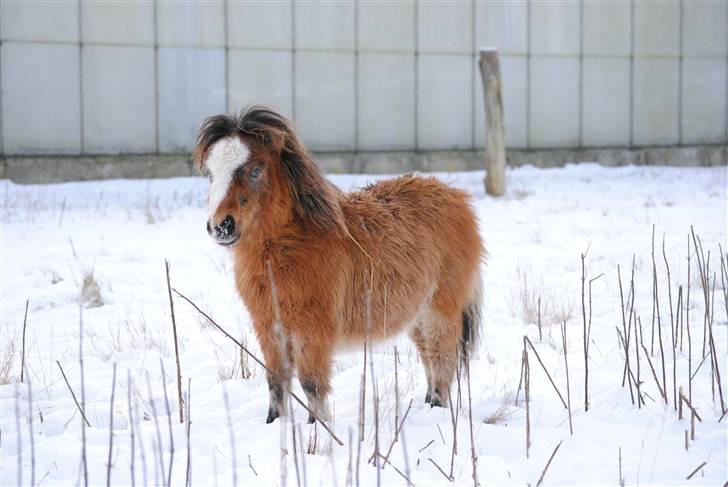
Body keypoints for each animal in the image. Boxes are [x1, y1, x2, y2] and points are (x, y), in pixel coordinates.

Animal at [193, 107, 484, 424]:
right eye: (210, 174)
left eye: (255, 170)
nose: (221, 226)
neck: (293, 246)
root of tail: (456, 197)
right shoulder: (269, 327)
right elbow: (276, 381)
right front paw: (275, 423)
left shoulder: (313, 331)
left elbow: (311, 383)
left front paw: (318, 430)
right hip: (415, 315)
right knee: (429, 359)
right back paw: (429, 406)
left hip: (440, 311)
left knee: (443, 362)